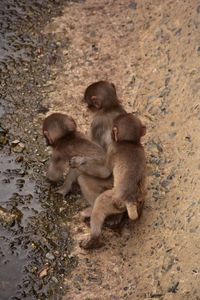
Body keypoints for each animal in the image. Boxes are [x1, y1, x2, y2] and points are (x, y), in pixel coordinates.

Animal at [76, 113, 146, 250]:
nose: (111, 135)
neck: (130, 143)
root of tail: (130, 200)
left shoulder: (112, 148)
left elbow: (104, 171)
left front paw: (77, 162)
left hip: (113, 201)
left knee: (91, 190)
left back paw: (93, 239)